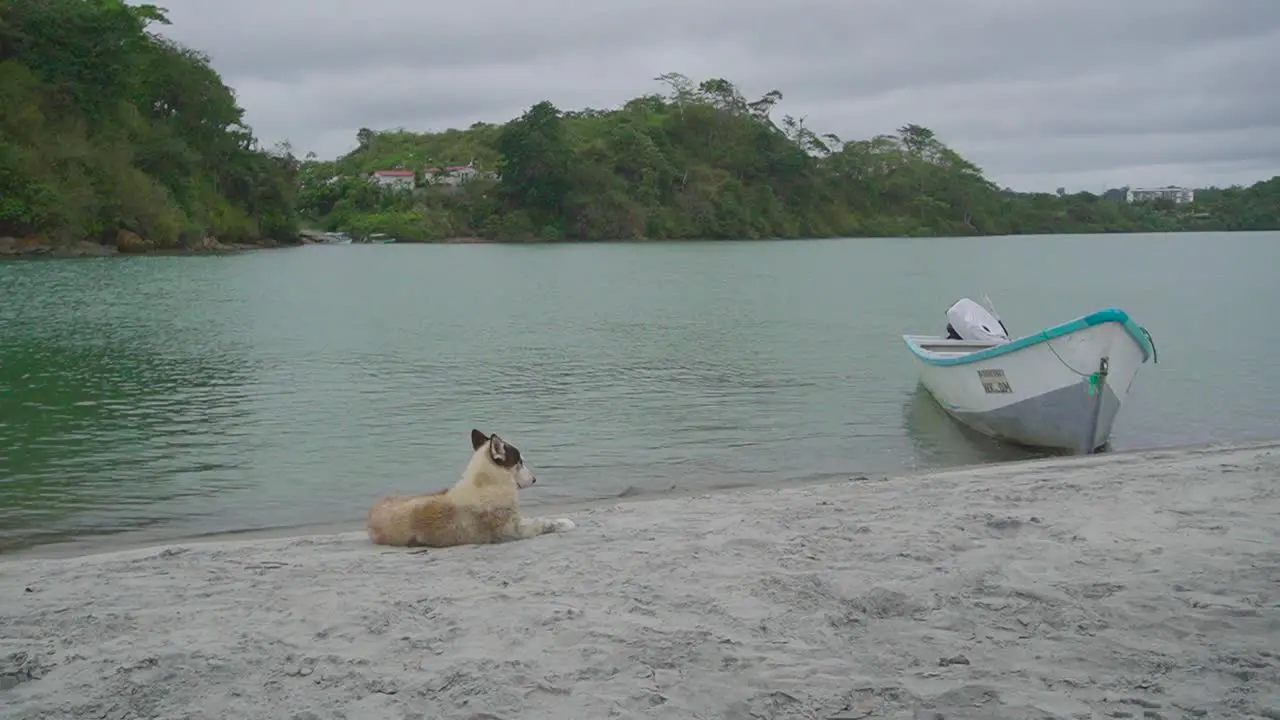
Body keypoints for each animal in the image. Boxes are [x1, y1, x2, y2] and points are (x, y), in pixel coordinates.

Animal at [366, 427, 576, 545]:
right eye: (520, 463)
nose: (534, 479)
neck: (488, 483)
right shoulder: (512, 531)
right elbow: (543, 522)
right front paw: (564, 522)